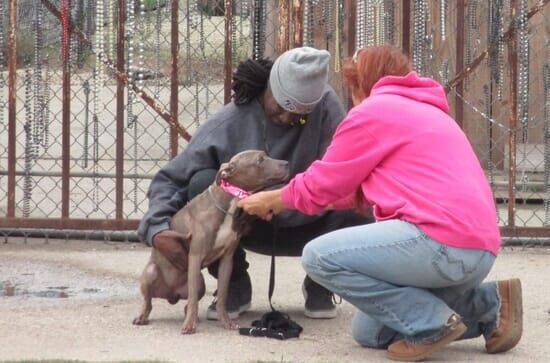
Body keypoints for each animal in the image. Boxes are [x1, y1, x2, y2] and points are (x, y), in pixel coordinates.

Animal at [133, 150, 292, 336]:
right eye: (259, 160)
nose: (286, 163)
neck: (228, 204)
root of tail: (171, 294)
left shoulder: (227, 260)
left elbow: (222, 295)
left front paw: (226, 322)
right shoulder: (195, 257)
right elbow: (193, 297)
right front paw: (189, 326)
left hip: (200, 282)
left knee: (189, 302)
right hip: (151, 272)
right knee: (149, 302)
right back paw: (143, 317)